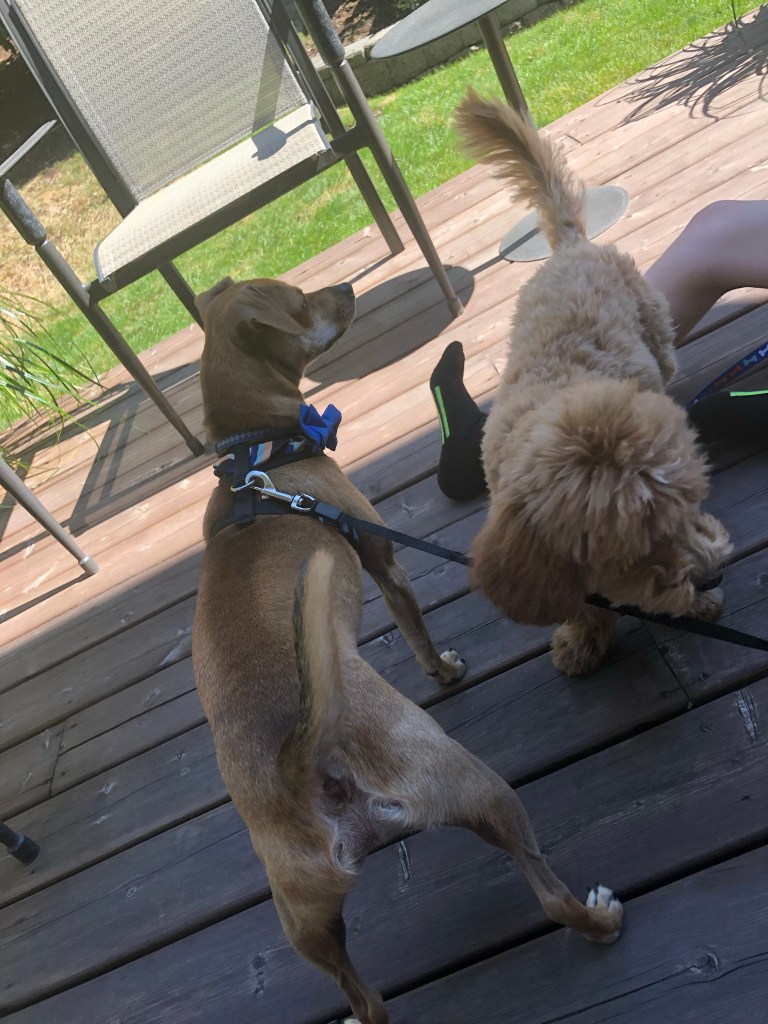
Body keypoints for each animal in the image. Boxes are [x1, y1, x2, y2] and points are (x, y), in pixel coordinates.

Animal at [191, 276, 624, 1024]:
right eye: (300, 299)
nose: (345, 285)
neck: (256, 459)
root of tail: (304, 769)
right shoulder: (385, 561)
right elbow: (415, 626)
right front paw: (443, 669)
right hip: (478, 787)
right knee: (551, 900)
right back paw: (602, 918)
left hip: (308, 923)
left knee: (369, 1003)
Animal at [455, 89, 732, 678]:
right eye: (636, 550)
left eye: (693, 504)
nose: (712, 575)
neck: (561, 399)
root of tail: (570, 248)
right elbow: (579, 600)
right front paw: (585, 635)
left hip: (657, 332)